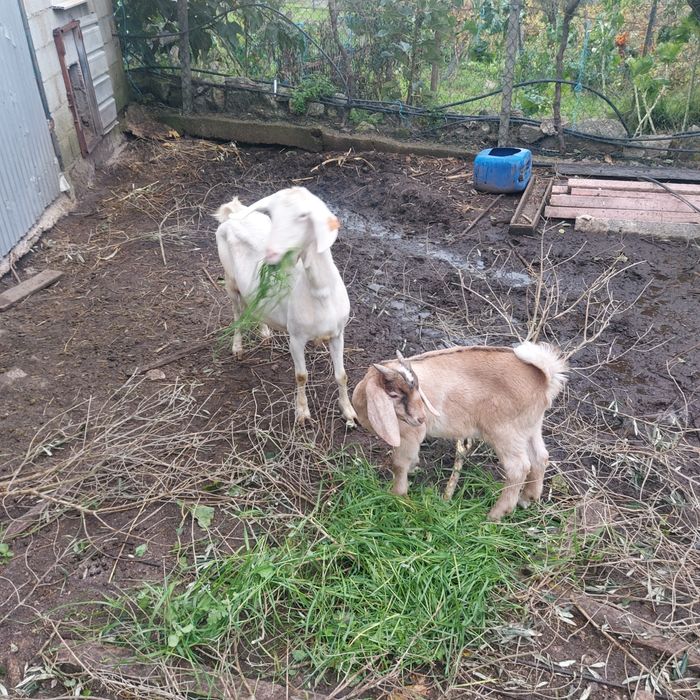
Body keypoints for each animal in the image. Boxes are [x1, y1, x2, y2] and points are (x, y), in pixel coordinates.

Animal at [214, 187, 357, 426]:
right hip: (230, 279)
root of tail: (233, 214)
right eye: (272, 214)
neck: (320, 294)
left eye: (303, 216)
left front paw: (349, 411)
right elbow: (301, 376)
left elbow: (342, 374)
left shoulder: (338, 333)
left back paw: (265, 333)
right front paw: (303, 414)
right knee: (236, 313)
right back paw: (238, 348)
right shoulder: (296, 337)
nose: (270, 255)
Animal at [351, 343, 568, 520]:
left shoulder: (409, 435)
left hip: (505, 431)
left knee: (519, 468)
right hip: (530, 426)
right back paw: (527, 498)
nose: (421, 418)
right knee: (540, 457)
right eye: (394, 394)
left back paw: (495, 514)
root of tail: (544, 378)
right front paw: (413, 469)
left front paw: (397, 495)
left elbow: (398, 464)